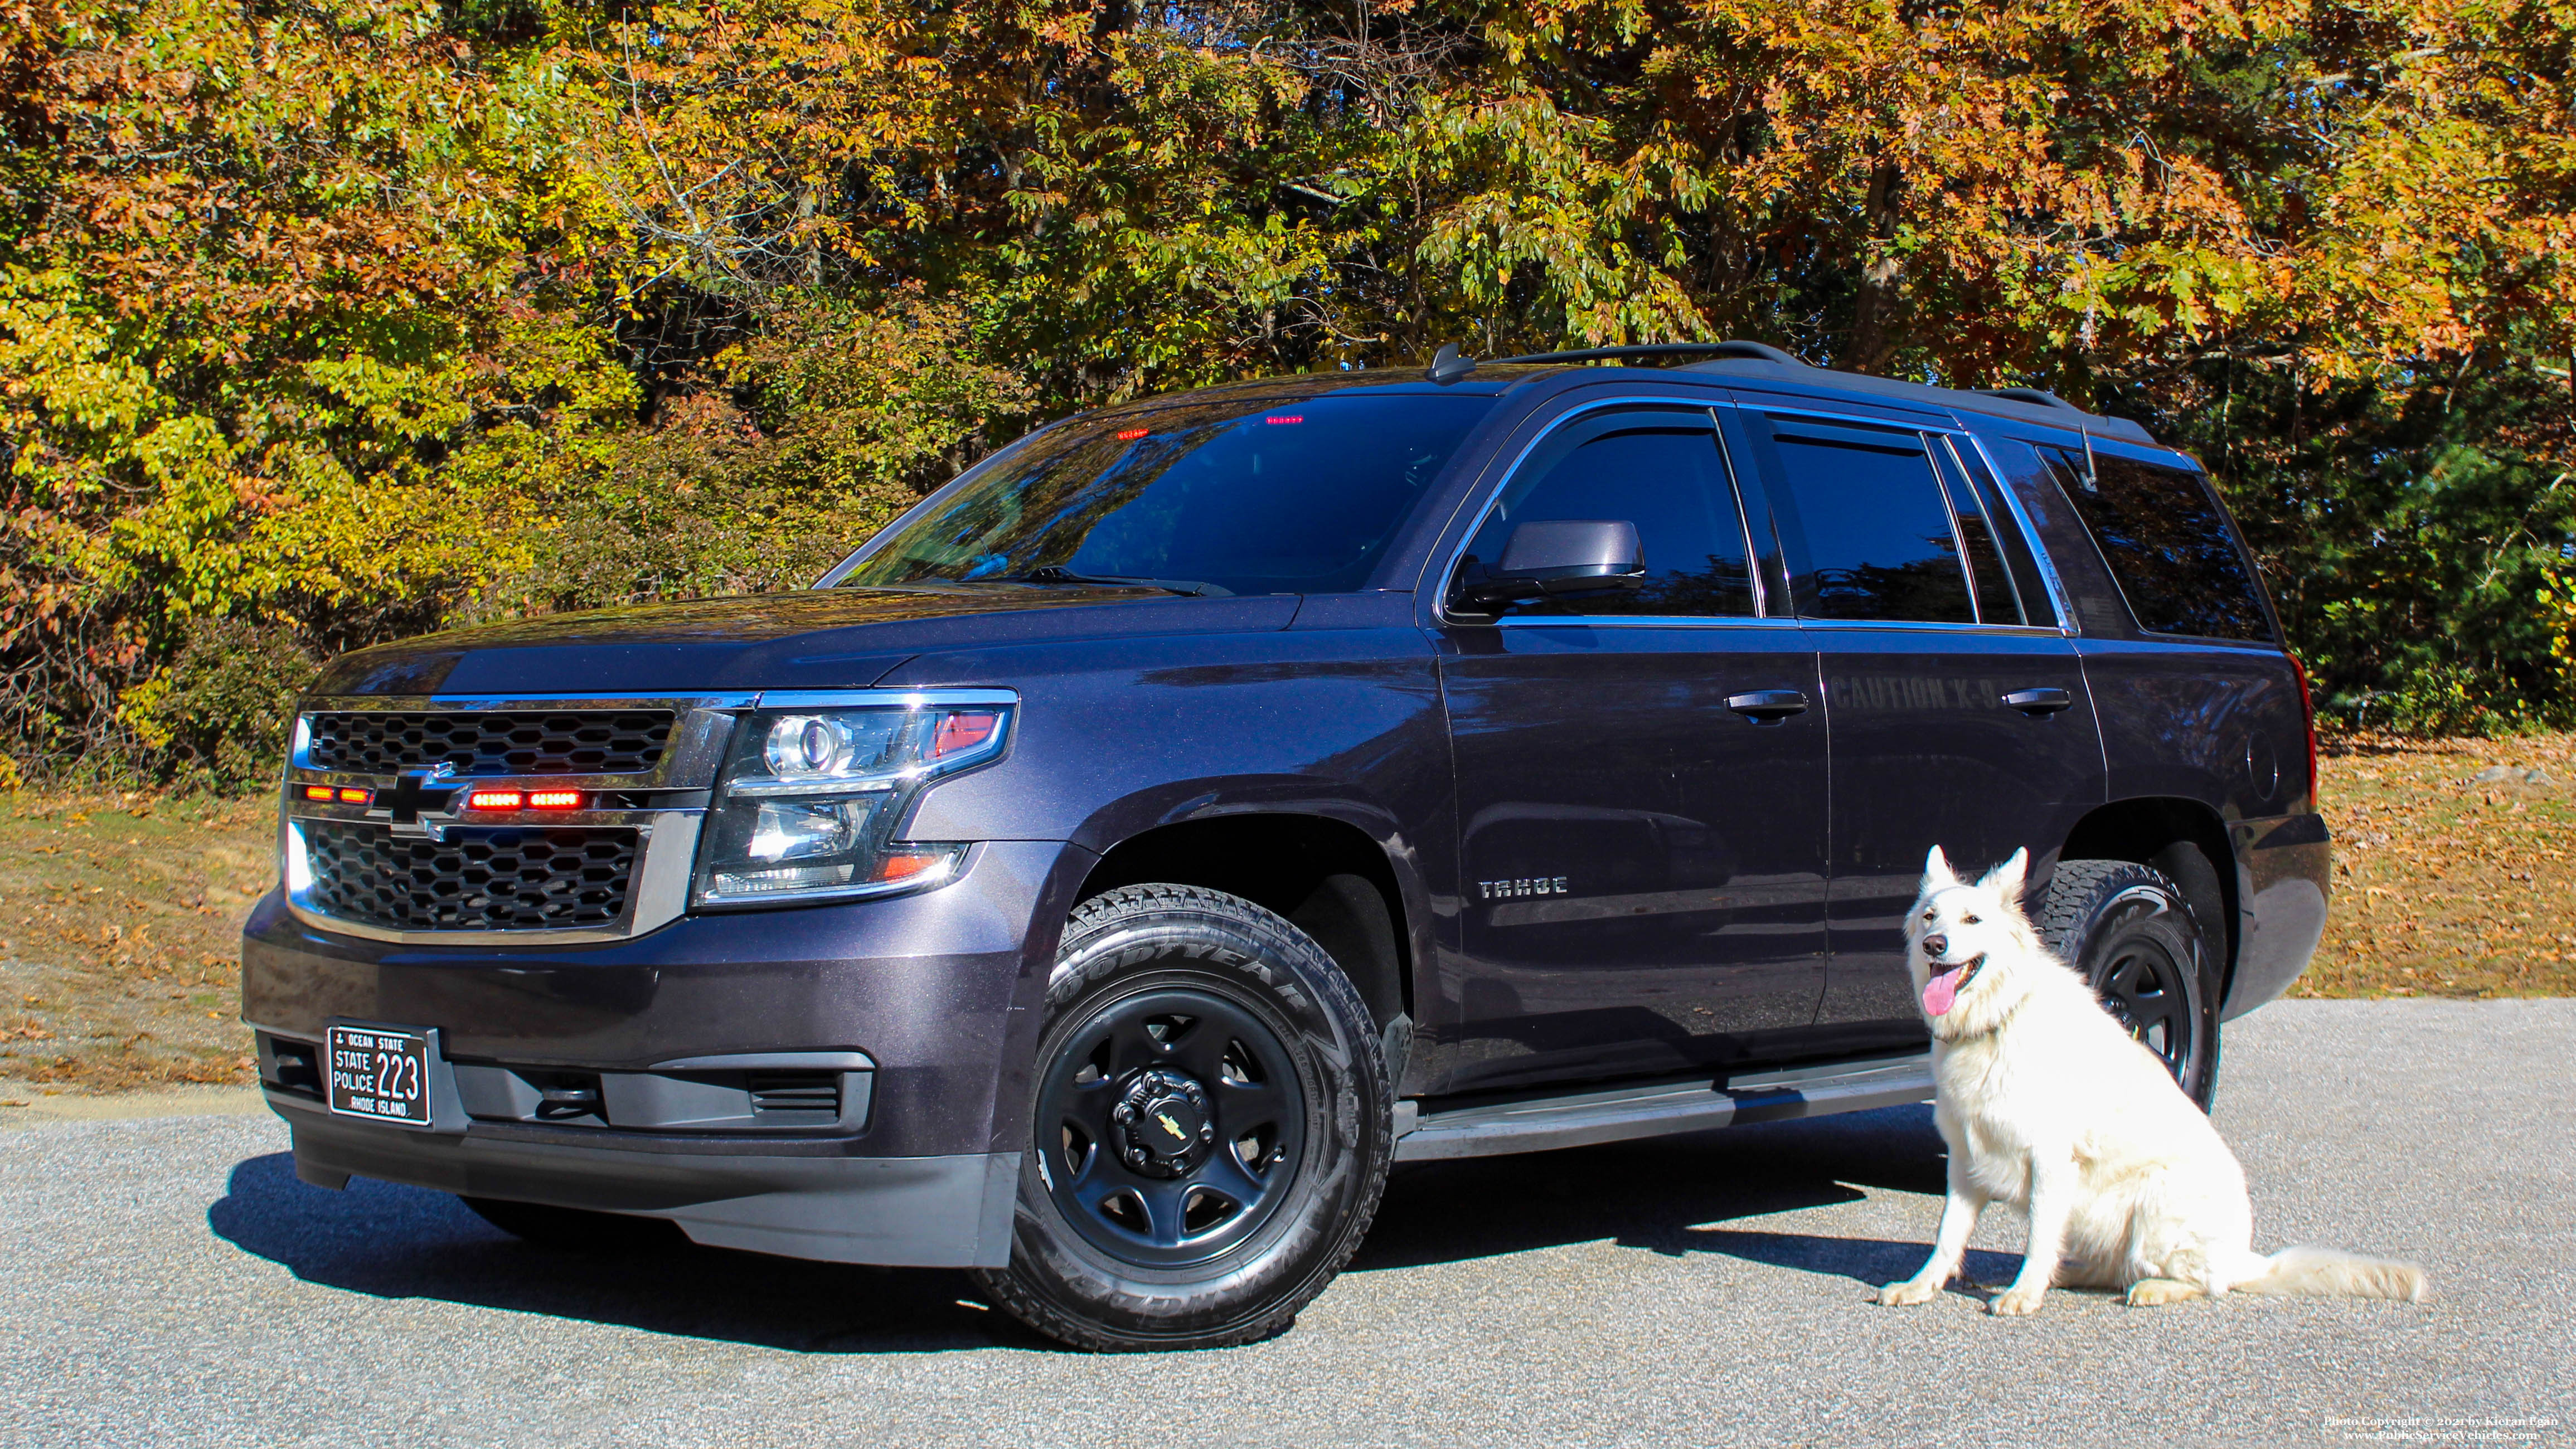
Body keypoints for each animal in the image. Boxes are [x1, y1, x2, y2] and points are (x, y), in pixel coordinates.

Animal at [1875, 844, 2411, 1317]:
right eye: (1930, 917)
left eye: (1972, 921)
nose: (1932, 946)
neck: (1996, 1020)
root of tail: (2245, 1258)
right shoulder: (1966, 1162)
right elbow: (1947, 1236)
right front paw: (1921, 1286)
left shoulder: (2050, 1161)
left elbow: (2038, 1236)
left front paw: (2023, 1294)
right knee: (2114, 1269)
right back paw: (2066, 1275)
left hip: (2155, 1200)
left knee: (2202, 1282)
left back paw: (2152, 1288)